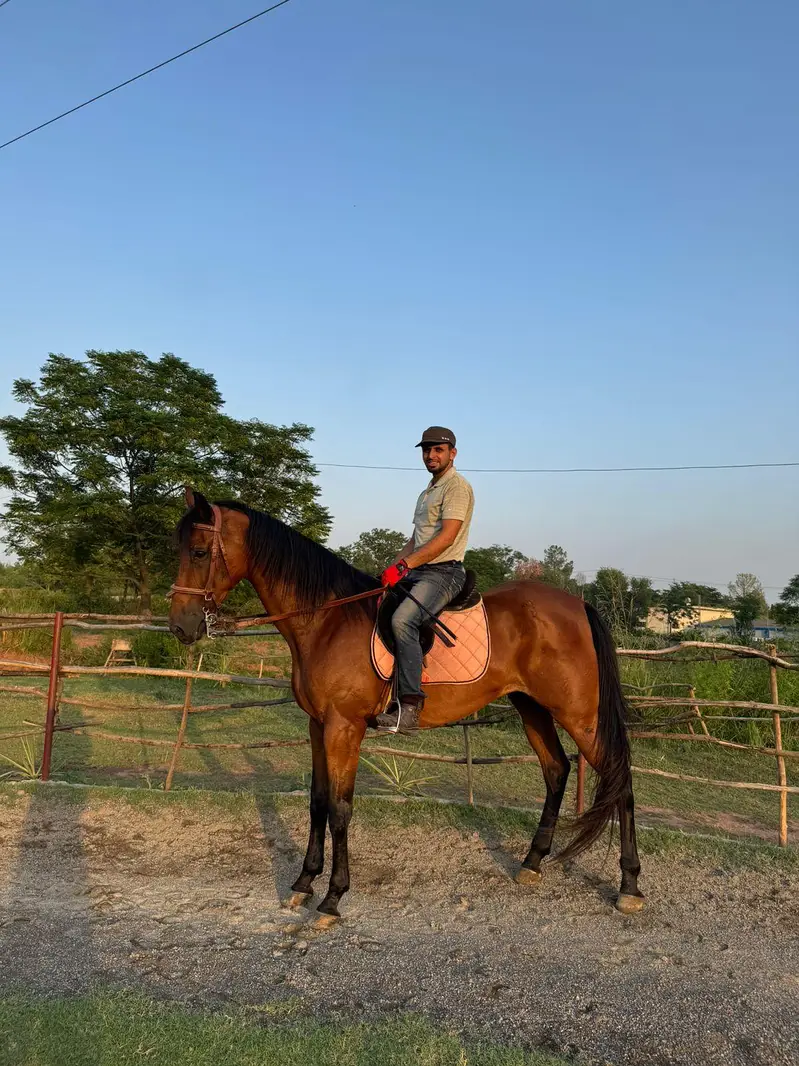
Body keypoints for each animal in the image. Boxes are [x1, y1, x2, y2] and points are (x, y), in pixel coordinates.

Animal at [168, 490, 643, 920]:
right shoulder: (317, 725)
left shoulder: (344, 728)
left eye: (199, 551)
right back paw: (532, 864)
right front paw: (303, 884)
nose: (180, 627)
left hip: (580, 716)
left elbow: (340, 810)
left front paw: (332, 898)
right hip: (532, 707)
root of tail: (578, 604)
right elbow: (317, 803)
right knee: (556, 770)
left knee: (620, 782)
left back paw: (630, 887)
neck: (326, 620)